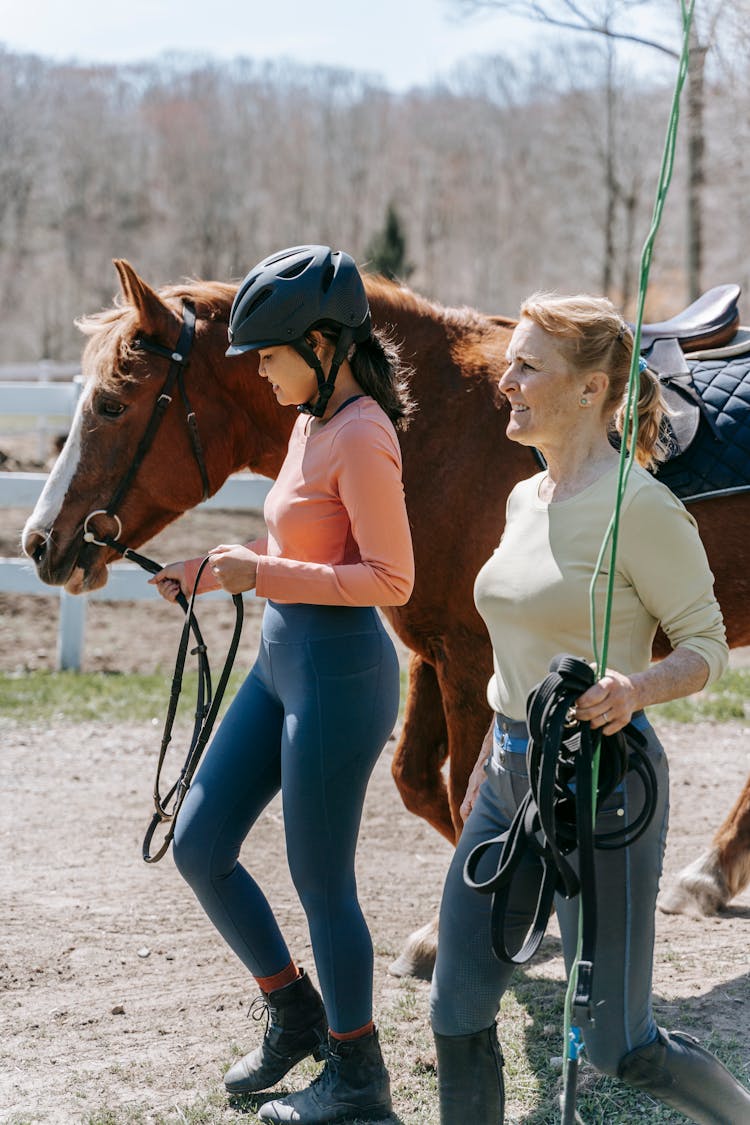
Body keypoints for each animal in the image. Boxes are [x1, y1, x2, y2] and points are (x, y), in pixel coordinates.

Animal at [22, 261, 750, 976]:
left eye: (113, 404)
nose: (39, 542)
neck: (445, 429)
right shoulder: (438, 651)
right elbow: (419, 784)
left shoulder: (473, 658)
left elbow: (461, 792)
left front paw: (467, 929)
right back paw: (709, 874)